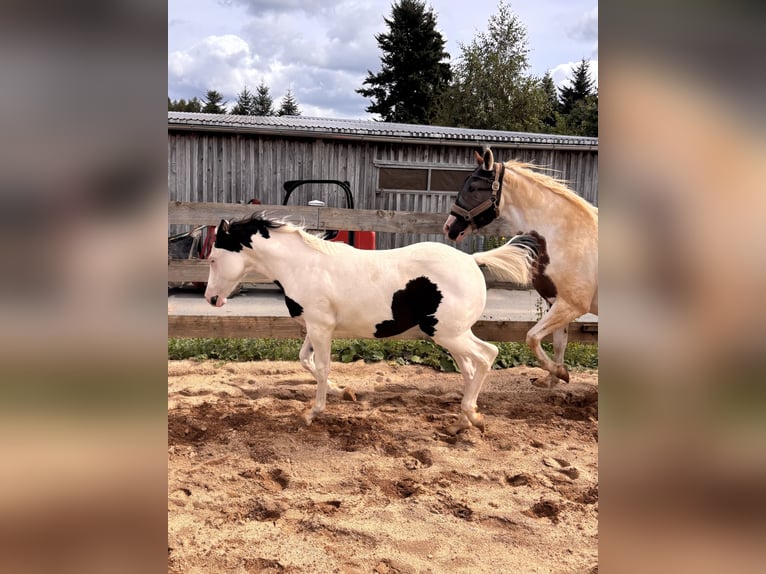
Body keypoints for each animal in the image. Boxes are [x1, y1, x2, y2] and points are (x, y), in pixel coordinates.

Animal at [204, 213, 543, 434]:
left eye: (212, 258)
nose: (211, 299)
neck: (305, 266)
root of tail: (472, 260)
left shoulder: (321, 327)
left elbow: (321, 367)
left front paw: (312, 413)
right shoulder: (316, 326)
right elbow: (305, 360)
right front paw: (344, 392)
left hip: (448, 333)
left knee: (487, 355)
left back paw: (472, 415)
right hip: (452, 334)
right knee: (470, 369)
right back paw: (463, 421)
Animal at [444, 148, 598, 388]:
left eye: (474, 187)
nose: (449, 227)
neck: (567, 235)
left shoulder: (572, 305)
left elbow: (532, 337)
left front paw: (561, 373)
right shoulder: (556, 302)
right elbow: (558, 343)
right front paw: (553, 379)